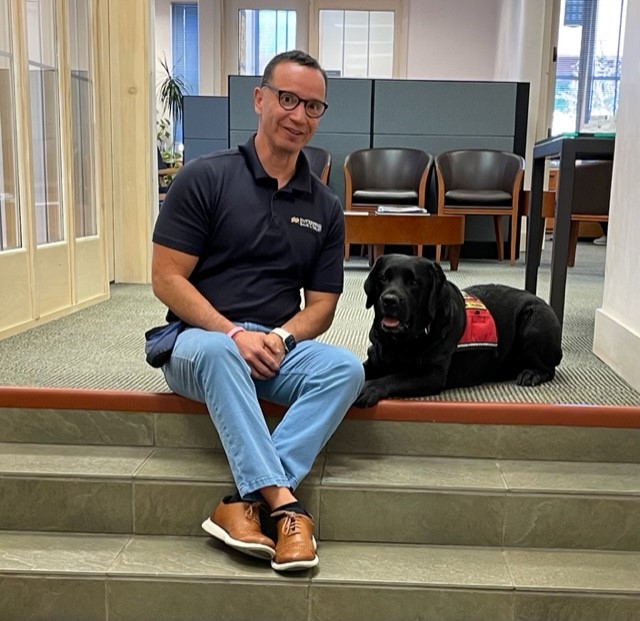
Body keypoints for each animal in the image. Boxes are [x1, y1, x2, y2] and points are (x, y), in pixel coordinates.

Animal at [358, 253, 564, 406]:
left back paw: (531, 374)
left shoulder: (432, 374)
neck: (400, 343)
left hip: (535, 322)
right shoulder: (376, 360)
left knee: (548, 368)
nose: (389, 300)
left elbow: (394, 378)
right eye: (383, 278)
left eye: (414, 282)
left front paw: (369, 387)